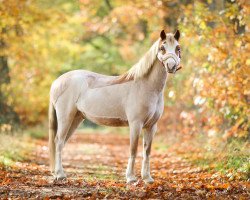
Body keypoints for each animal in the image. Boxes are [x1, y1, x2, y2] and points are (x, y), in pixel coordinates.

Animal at [48, 28, 182, 184]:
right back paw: (60, 175)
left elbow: (147, 151)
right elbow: (133, 149)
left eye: (178, 48)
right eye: (162, 48)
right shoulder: (135, 124)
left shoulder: (151, 126)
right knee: (58, 141)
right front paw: (131, 178)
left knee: (61, 142)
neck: (145, 87)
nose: (171, 66)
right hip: (66, 117)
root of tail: (57, 81)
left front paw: (147, 178)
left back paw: (57, 173)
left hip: (76, 119)